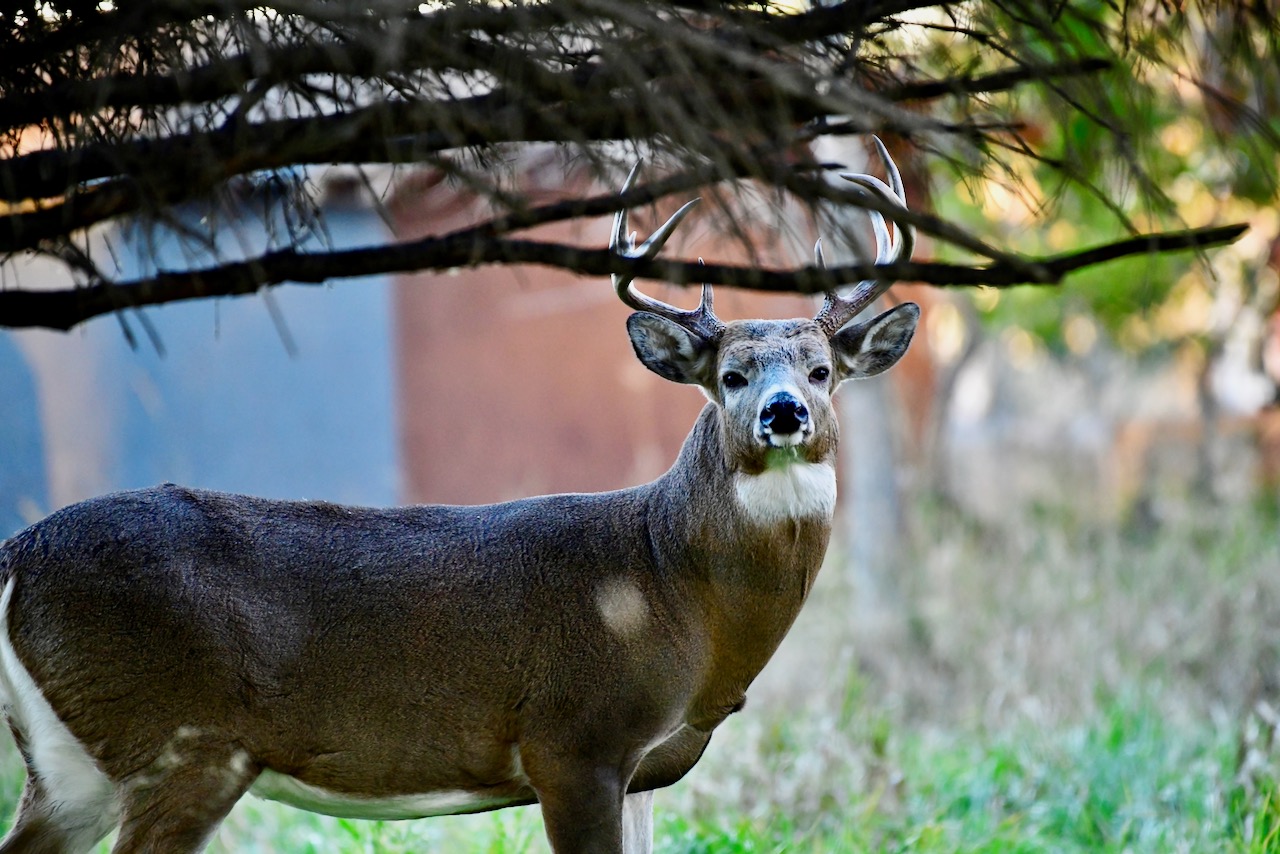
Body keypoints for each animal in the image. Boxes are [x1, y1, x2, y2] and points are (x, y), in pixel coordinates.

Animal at [0, 139, 918, 854]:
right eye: (729, 375)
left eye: (821, 370)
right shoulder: (573, 738)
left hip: (71, 767)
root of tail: (17, 554)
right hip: (181, 740)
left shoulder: (644, 773)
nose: (782, 411)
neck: (668, 584)